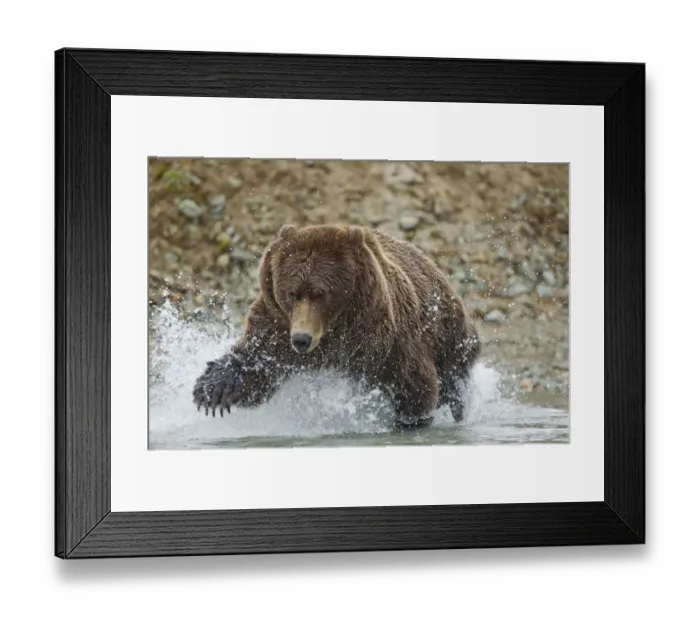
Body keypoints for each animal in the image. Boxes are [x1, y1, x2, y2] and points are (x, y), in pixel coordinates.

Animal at [192, 224, 481, 429]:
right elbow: (256, 361)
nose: (301, 339)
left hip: (449, 334)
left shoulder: (388, 339)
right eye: (291, 293)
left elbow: (414, 386)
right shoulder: (276, 323)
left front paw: (411, 421)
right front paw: (212, 391)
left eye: (320, 293)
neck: (332, 333)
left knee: (454, 380)